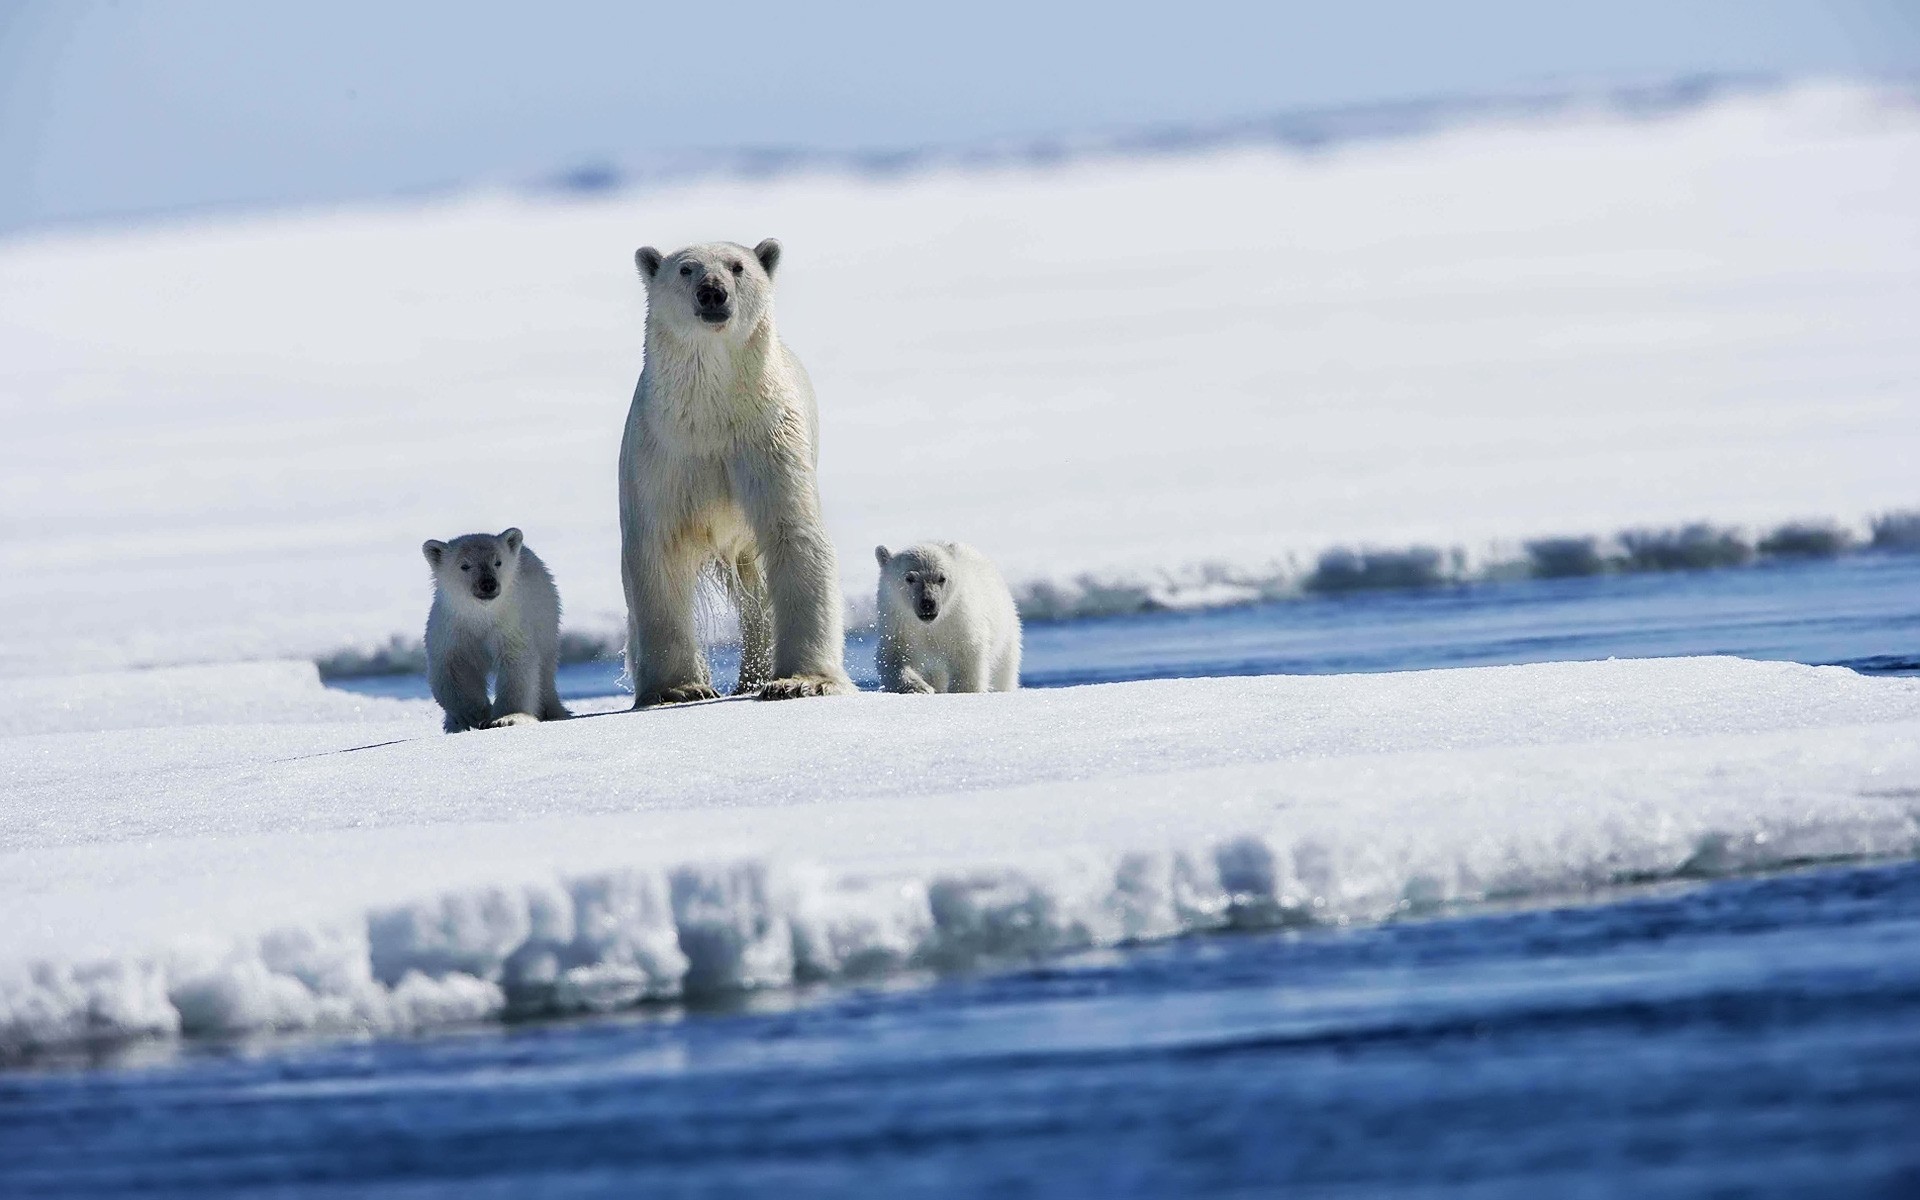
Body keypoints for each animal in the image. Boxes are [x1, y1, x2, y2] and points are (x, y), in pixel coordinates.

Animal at [420, 526, 568, 729]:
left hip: (546, 619)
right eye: (464, 565)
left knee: (545, 669)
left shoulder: (510, 625)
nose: (488, 583)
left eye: (498, 562)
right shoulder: (451, 629)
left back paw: (552, 711)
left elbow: (516, 665)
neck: (481, 616)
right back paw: (452, 725)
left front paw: (507, 718)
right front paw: (473, 714)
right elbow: (452, 668)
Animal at [618, 240, 852, 706]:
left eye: (738, 266)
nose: (712, 292)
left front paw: (801, 681)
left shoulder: (768, 441)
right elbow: (657, 549)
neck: (712, 416)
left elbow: (795, 535)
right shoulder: (662, 456)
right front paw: (679, 688)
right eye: (686, 269)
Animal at [871, 541, 1021, 691]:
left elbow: (967, 658)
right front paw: (921, 688)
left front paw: (962, 690)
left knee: (1004, 672)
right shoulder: (899, 624)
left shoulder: (959, 621)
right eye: (909, 578)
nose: (928, 603)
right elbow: (893, 657)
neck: (930, 625)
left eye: (941, 578)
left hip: (1006, 634)